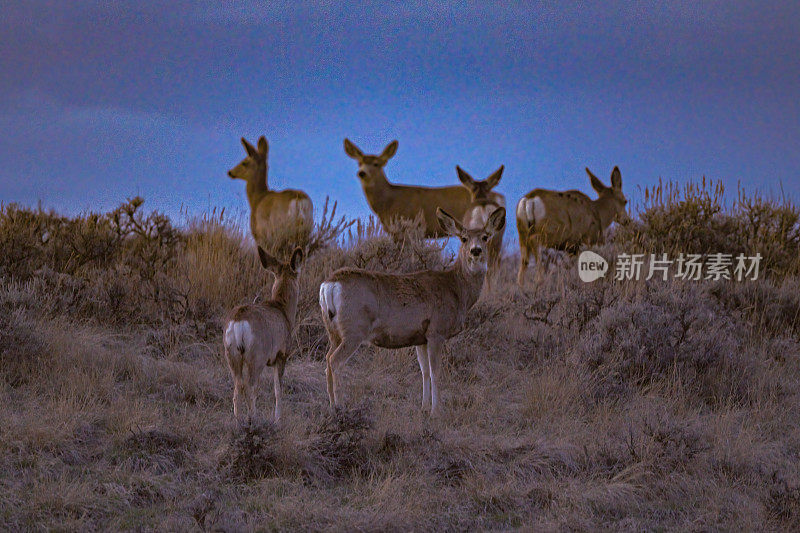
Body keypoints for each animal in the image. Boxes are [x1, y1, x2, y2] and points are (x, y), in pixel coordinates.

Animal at [223, 245, 304, 424]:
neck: (283, 311)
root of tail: (239, 320)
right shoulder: (281, 355)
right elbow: (278, 390)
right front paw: (278, 420)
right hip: (256, 356)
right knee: (249, 387)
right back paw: (253, 420)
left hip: (231, 354)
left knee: (237, 387)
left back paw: (239, 422)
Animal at [318, 206, 506, 418]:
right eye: (464, 238)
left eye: (485, 237)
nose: (476, 251)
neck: (457, 290)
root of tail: (329, 284)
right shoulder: (436, 331)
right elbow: (436, 372)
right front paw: (436, 411)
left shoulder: (421, 338)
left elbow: (424, 371)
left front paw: (424, 407)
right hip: (354, 328)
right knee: (335, 361)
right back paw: (340, 407)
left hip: (333, 330)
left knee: (327, 360)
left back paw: (331, 405)